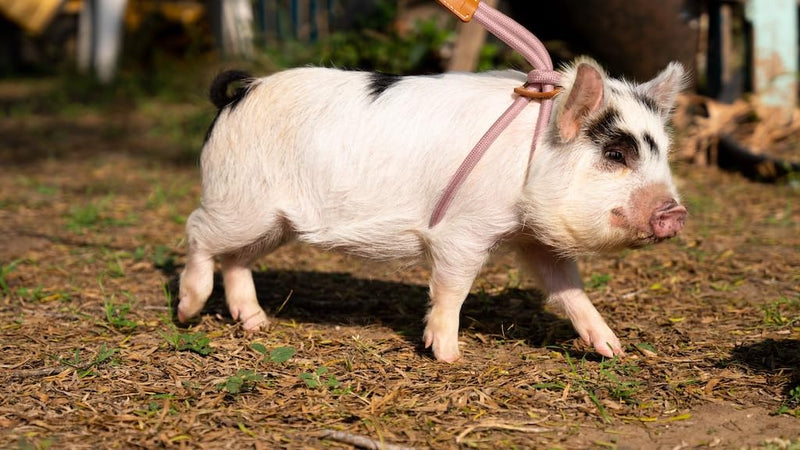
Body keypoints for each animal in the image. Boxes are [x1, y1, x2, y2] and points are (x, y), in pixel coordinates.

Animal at [177, 57, 687, 362]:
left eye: (662, 152)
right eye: (616, 154)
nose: (676, 213)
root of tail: (240, 94)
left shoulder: (533, 239)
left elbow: (569, 292)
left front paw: (613, 349)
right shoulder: (463, 231)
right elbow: (453, 289)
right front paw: (449, 355)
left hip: (272, 224)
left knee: (236, 260)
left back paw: (256, 325)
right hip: (239, 202)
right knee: (197, 231)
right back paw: (187, 312)